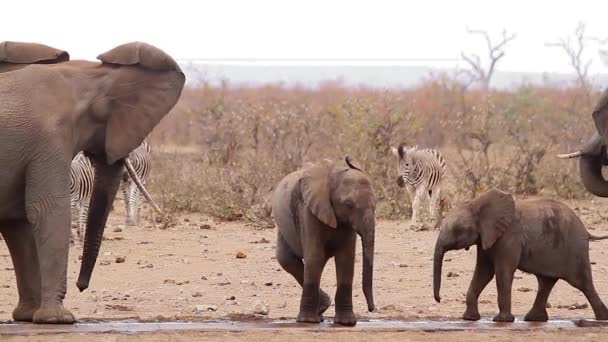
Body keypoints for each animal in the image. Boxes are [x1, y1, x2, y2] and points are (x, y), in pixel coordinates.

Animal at [0, 40, 185, 324]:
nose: (81, 286)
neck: (86, 76)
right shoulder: (49, 140)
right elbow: (49, 209)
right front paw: (59, 319)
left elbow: (17, 222)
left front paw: (28, 316)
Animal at [432, 188, 608, 322]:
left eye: (458, 229)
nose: (439, 299)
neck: (478, 203)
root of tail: (585, 229)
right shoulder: (486, 238)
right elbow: (483, 272)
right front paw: (469, 319)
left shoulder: (509, 236)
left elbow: (502, 272)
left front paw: (501, 321)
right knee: (546, 282)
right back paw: (534, 319)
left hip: (575, 249)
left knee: (582, 283)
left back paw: (602, 319)